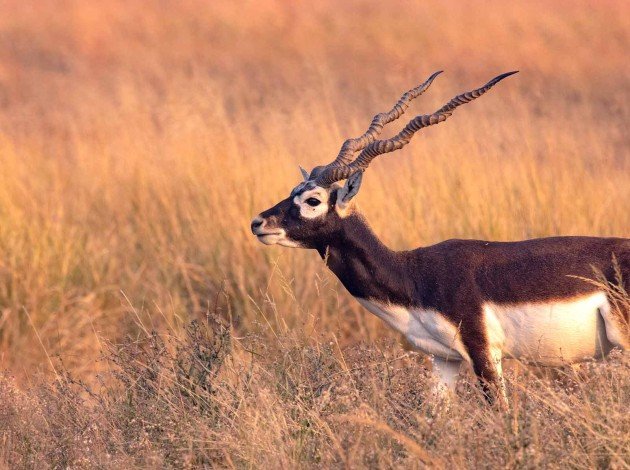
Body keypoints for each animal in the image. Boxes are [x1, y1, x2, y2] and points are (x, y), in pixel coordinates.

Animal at [252, 71, 630, 406]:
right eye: (294, 190)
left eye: (313, 200)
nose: (258, 222)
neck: (414, 274)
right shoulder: (444, 359)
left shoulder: (483, 352)